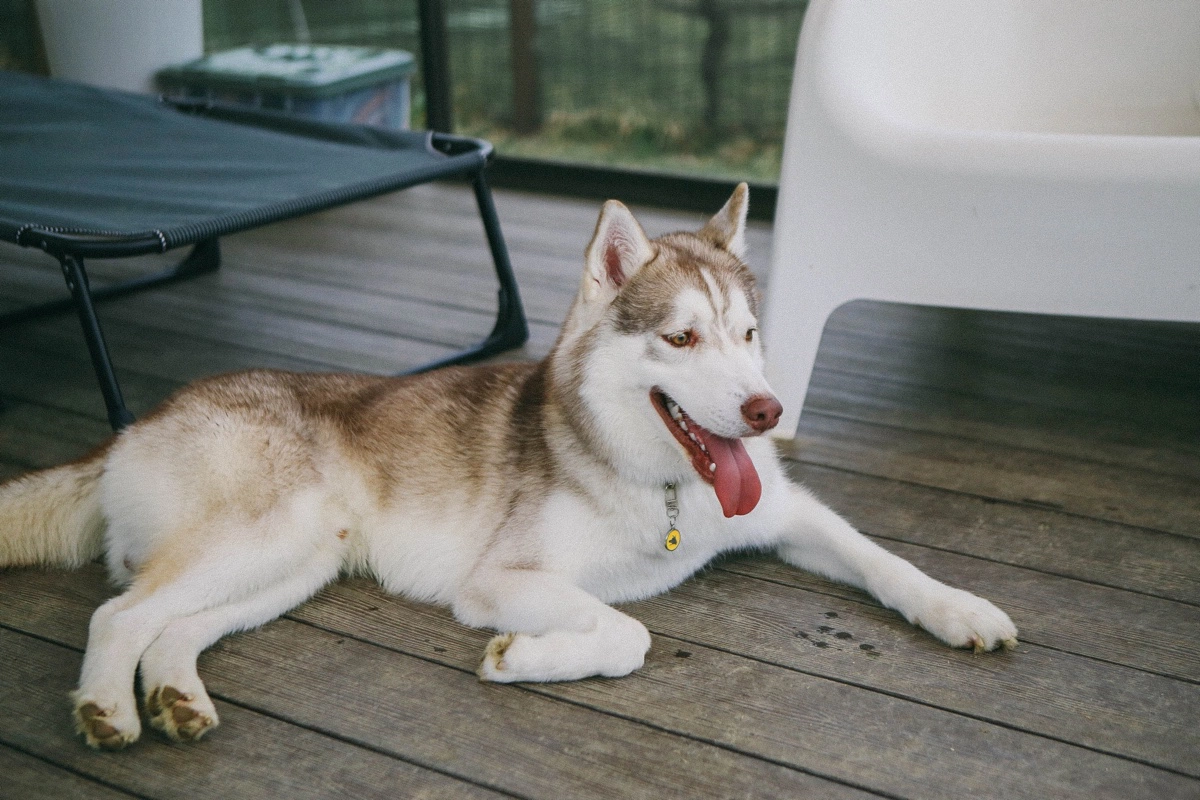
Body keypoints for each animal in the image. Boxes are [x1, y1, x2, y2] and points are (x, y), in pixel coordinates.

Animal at [0, 184, 1017, 748]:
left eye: (749, 335)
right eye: (682, 338)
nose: (768, 410)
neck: (665, 488)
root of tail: (138, 420)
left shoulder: (791, 514)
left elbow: (885, 559)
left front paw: (962, 609)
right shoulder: (501, 580)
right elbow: (627, 633)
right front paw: (524, 657)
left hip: (295, 564)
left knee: (168, 627)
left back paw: (175, 695)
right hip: (266, 536)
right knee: (116, 614)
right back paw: (107, 710)